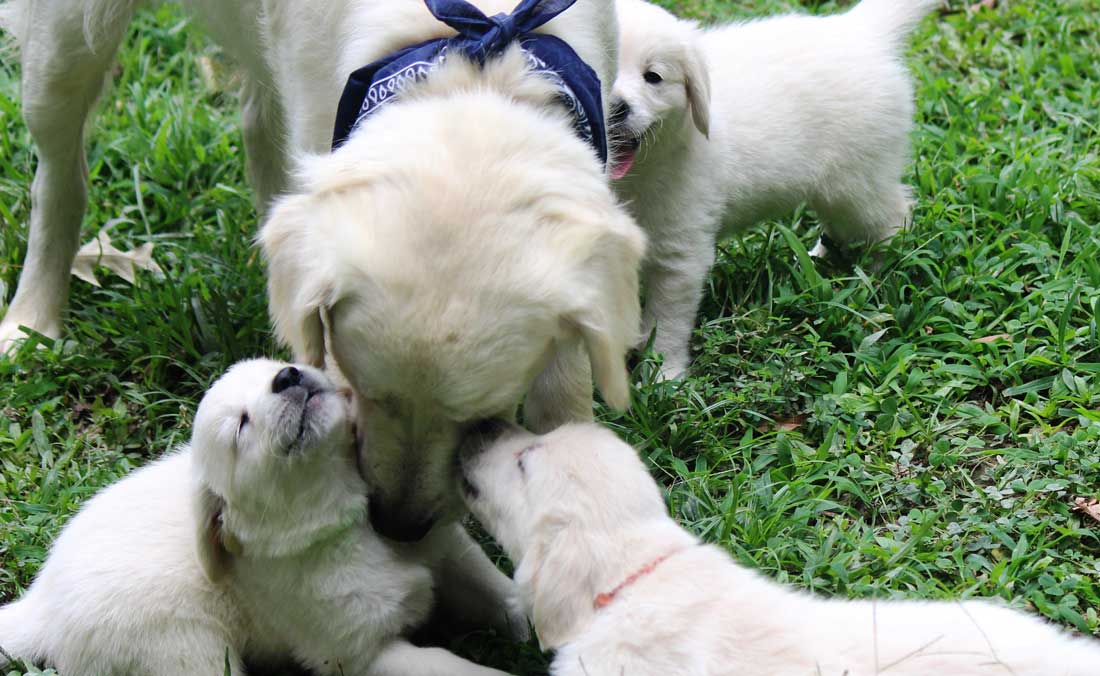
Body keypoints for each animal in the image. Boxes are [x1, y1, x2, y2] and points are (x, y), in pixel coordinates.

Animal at [0, 360, 512, 676]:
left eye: (271, 365)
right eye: (242, 426)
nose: (286, 376)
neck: (345, 524)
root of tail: (39, 607)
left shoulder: (448, 549)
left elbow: (498, 592)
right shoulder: (358, 653)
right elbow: (459, 669)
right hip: (186, 654)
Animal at [611, 0, 937, 380]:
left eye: (653, 77)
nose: (616, 107)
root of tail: (856, 29)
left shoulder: (680, 254)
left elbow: (666, 323)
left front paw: (663, 376)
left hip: (858, 185)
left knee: (892, 218)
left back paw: (879, 271)